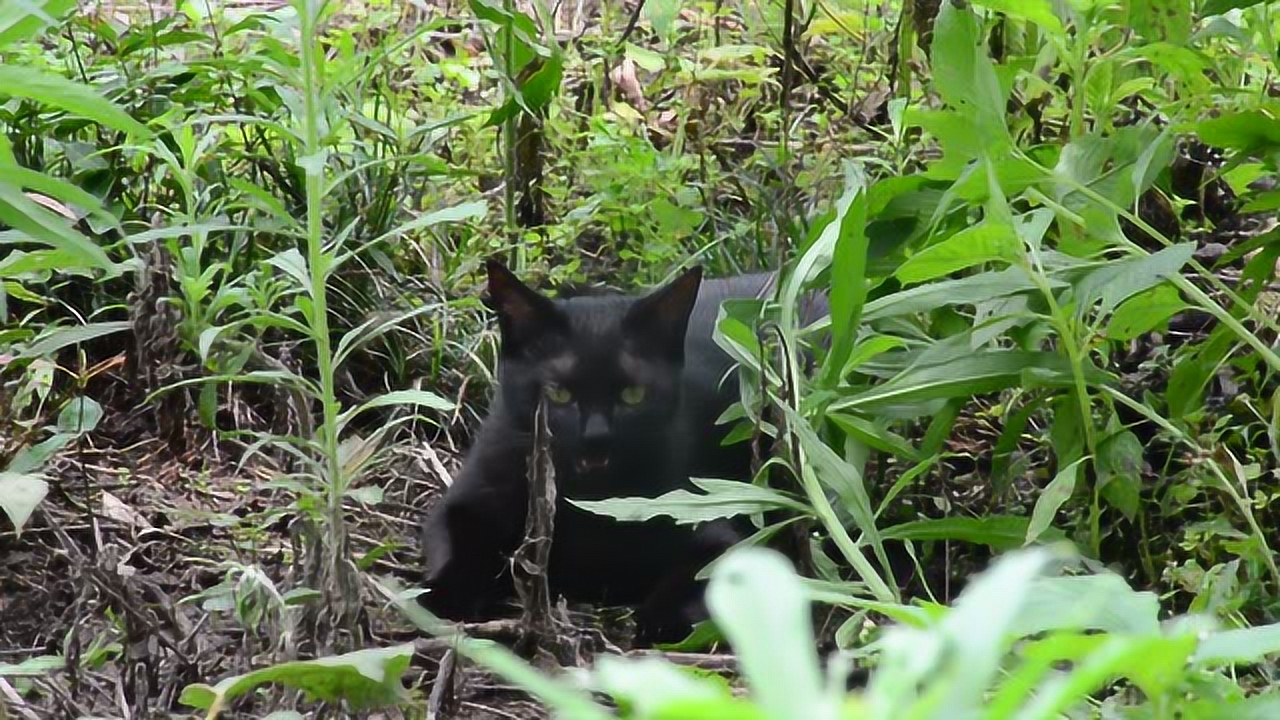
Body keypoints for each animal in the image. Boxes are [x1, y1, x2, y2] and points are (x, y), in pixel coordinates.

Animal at [422, 257, 788, 638]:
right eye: (559, 393)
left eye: (633, 395)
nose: (596, 436)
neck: (585, 508)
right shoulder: (467, 500)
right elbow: (458, 543)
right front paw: (441, 597)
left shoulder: (714, 520)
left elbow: (708, 572)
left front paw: (659, 619)